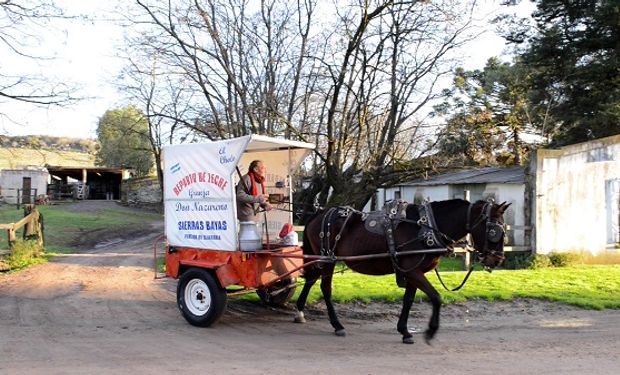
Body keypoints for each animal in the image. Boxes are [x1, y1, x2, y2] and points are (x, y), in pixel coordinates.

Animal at [298, 200, 512, 344]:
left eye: (504, 229)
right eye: (494, 230)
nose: (497, 260)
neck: (426, 227)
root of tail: (318, 213)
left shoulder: (413, 272)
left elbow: (408, 300)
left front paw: (405, 331)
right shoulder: (413, 271)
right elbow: (436, 297)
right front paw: (431, 331)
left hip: (321, 259)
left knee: (311, 279)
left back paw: (300, 311)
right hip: (327, 259)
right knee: (325, 288)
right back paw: (337, 325)